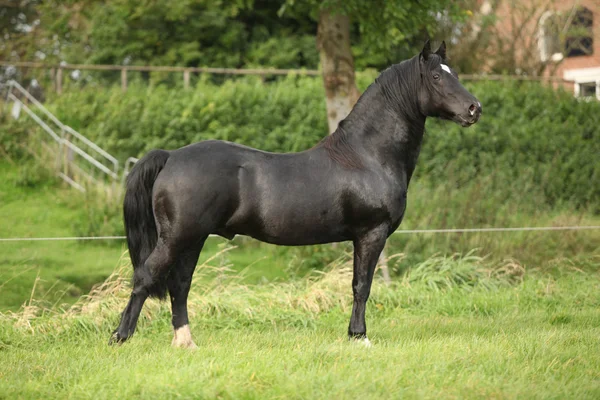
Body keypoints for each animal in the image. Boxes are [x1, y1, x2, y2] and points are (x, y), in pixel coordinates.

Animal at [110, 39, 480, 346]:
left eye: (454, 74)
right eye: (436, 77)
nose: (474, 108)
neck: (367, 155)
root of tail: (172, 156)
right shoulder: (371, 233)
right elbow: (361, 286)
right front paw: (359, 337)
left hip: (192, 239)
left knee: (180, 284)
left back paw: (185, 342)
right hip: (177, 237)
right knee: (146, 276)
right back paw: (120, 337)